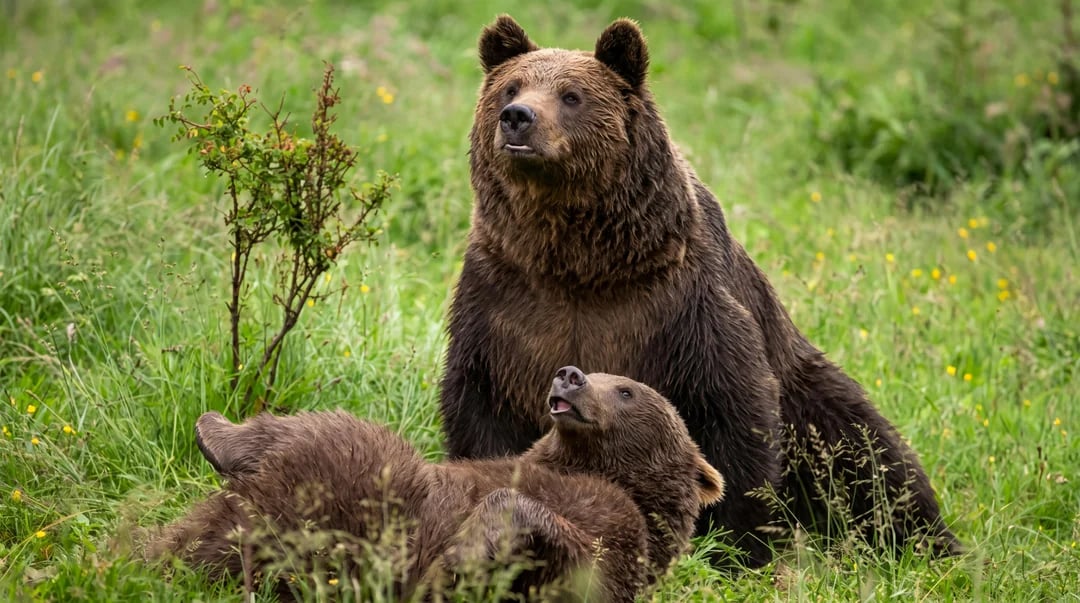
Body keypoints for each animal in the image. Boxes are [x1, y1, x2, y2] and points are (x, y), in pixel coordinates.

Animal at [147, 367, 725, 602]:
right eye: (602, 374)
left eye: (626, 389)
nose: (570, 374)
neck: (594, 468)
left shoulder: (621, 534)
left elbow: (577, 560)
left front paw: (461, 553)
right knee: (319, 429)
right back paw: (213, 430)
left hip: (361, 513)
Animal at [439, 15, 960, 568]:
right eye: (511, 87)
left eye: (571, 95)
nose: (517, 118)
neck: (579, 261)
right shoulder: (504, 301)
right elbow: (482, 405)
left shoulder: (680, 303)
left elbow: (731, 409)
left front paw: (737, 545)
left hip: (809, 392)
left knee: (867, 454)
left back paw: (926, 542)